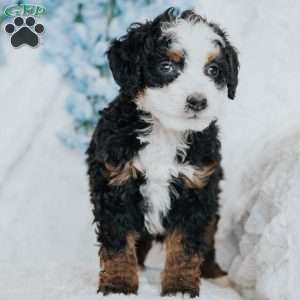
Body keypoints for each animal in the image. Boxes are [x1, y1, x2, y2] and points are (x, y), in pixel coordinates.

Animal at [86, 7, 239, 298]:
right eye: (166, 67)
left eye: (213, 70)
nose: (198, 101)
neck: (165, 131)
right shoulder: (116, 183)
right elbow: (118, 242)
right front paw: (119, 284)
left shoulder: (196, 189)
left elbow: (186, 247)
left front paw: (179, 287)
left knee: (208, 240)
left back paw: (216, 274)